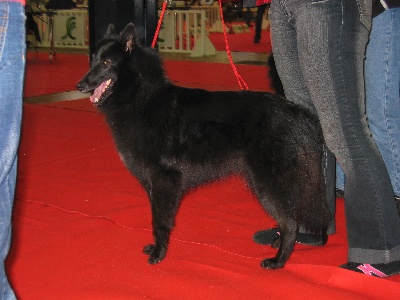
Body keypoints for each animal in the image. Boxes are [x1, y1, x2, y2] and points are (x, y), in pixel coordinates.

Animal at [76, 23, 330, 270]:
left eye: (106, 63)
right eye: (93, 60)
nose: (79, 85)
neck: (142, 98)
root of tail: (297, 112)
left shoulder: (164, 180)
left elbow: (159, 222)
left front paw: (159, 253)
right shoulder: (153, 184)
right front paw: (156, 248)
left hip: (266, 184)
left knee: (290, 223)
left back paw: (278, 261)